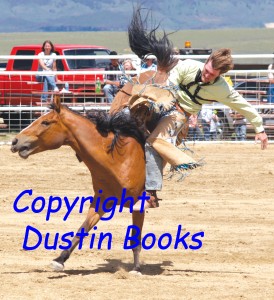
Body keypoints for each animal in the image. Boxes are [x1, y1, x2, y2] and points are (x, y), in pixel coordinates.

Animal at [10, 95, 148, 274]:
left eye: (45, 122)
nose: (14, 141)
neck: (118, 158)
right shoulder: (102, 200)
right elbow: (83, 228)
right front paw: (60, 259)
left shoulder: (138, 203)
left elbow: (135, 238)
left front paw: (136, 268)